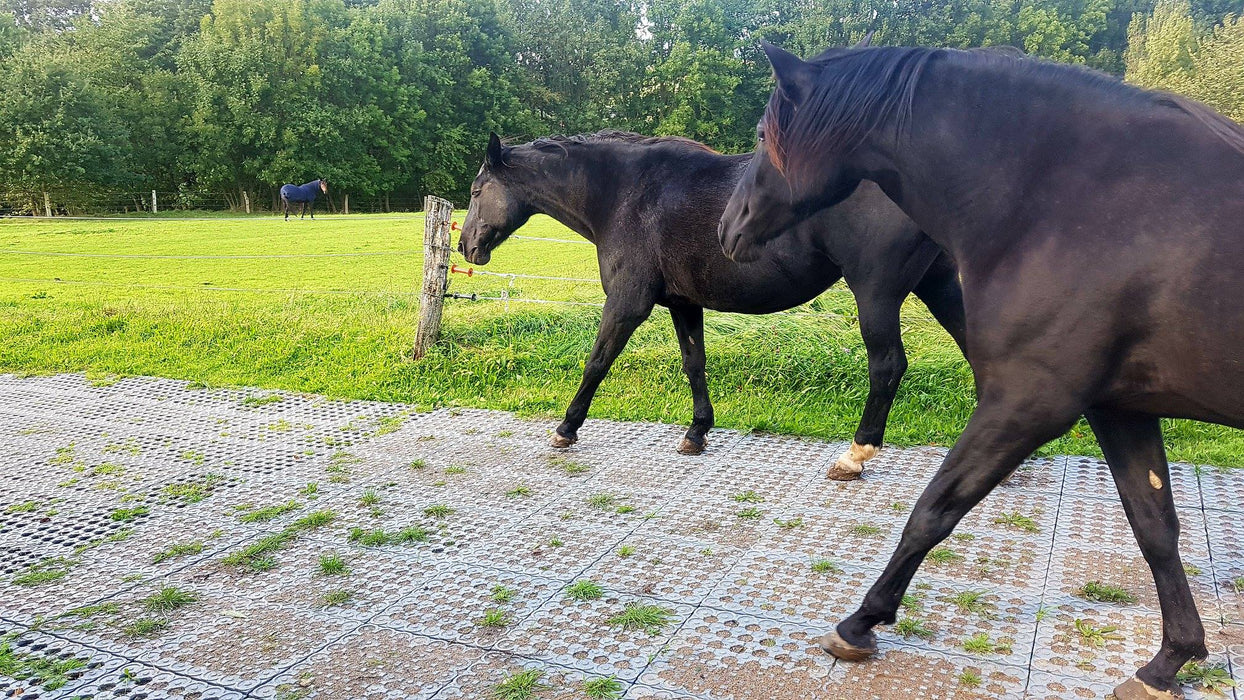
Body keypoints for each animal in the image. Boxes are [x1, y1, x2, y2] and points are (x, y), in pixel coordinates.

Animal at [458, 130, 966, 476]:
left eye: (477, 191)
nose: (466, 247)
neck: (624, 193)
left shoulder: (627, 302)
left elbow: (597, 362)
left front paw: (567, 428)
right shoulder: (684, 303)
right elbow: (694, 364)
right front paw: (697, 432)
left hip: (876, 294)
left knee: (888, 366)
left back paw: (855, 455)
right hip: (940, 285)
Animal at [718, 40, 1244, 700]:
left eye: (765, 134)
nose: (726, 227)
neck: (1075, 201)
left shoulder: (1028, 400)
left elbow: (935, 509)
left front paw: (862, 621)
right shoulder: (1119, 407)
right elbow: (1155, 528)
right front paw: (1170, 660)